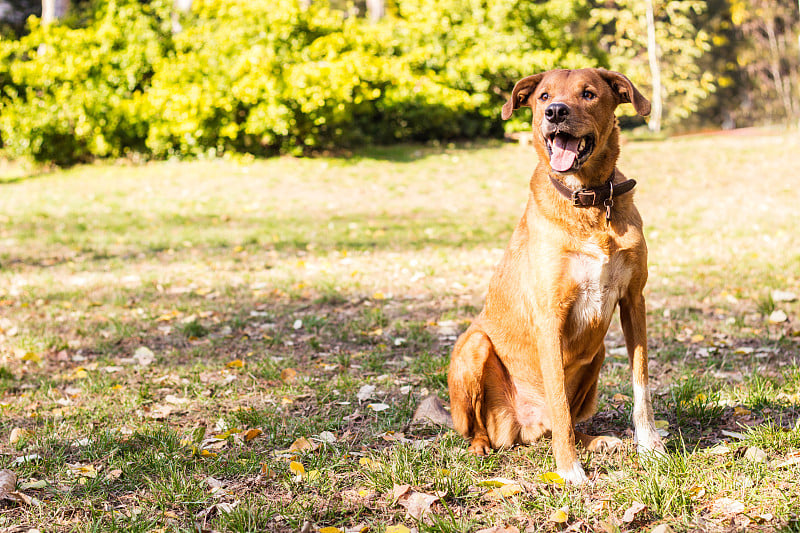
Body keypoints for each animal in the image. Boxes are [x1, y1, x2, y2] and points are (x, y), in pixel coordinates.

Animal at [446, 66, 664, 482]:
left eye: (588, 93)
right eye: (544, 96)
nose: (556, 112)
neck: (589, 202)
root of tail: (525, 428)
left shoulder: (634, 301)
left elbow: (641, 383)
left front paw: (650, 446)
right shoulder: (550, 317)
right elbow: (559, 401)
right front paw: (569, 470)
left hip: (597, 353)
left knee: (568, 422)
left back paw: (595, 441)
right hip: (473, 346)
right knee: (484, 427)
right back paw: (481, 446)